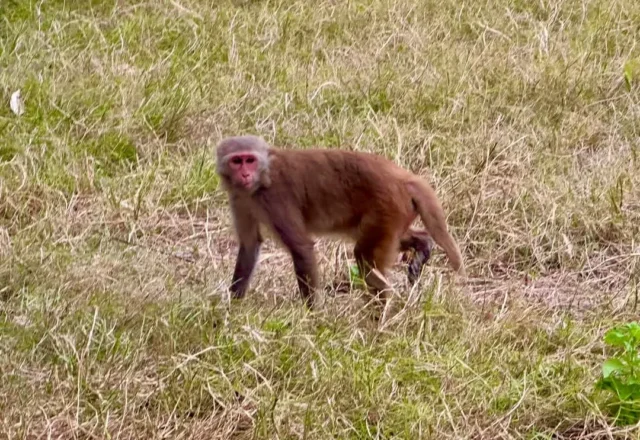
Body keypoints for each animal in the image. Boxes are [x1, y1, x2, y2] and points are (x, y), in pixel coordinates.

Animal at [216, 134, 464, 309]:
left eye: (249, 160)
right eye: (237, 161)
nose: (245, 175)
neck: (262, 177)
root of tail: (403, 178)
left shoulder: (275, 198)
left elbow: (301, 247)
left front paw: (311, 317)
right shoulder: (240, 199)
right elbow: (250, 245)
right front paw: (233, 311)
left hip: (387, 208)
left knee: (365, 257)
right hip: (394, 214)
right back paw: (423, 244)